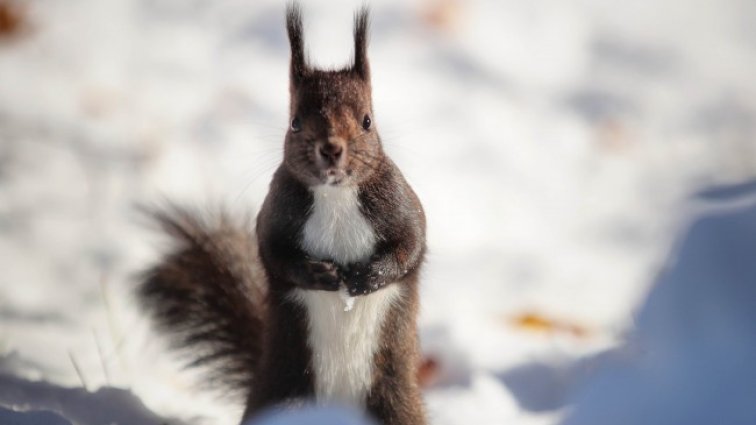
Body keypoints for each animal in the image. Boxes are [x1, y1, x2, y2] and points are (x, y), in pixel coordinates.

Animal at [138, 3, 428, 424]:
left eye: (367, 121)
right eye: (295, 122)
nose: (331, 148)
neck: (335, 197)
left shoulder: (399, 205)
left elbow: (411, 245)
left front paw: (367, 276)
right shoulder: (276, 213)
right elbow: (274, 253)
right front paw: (318, 273)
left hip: (393, 402)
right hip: (287, 392)